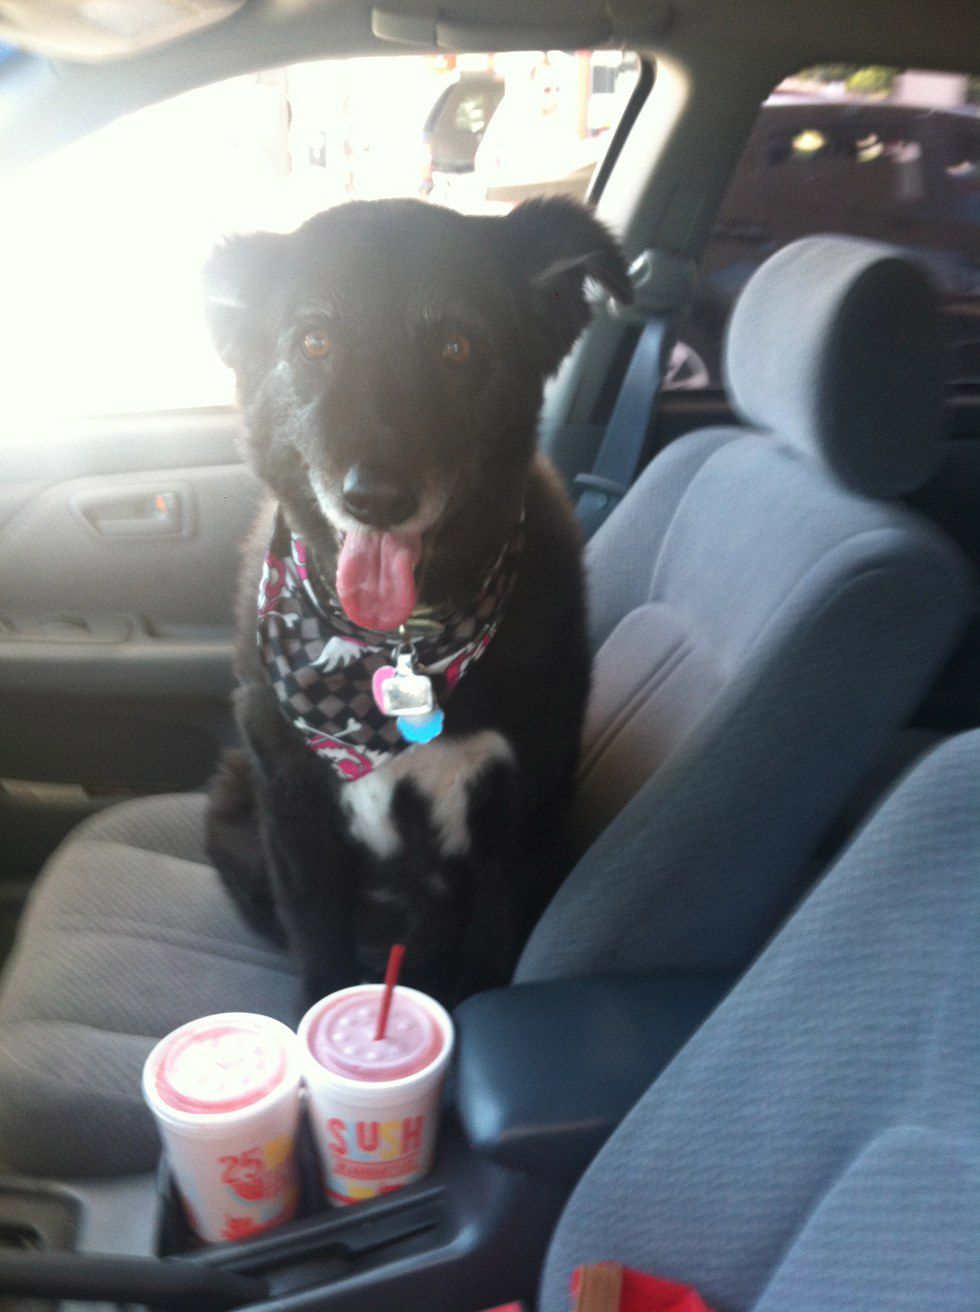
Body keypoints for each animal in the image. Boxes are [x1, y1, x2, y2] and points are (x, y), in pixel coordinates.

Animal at [203, 197, 632, 1005]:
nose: (375, 499)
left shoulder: (524, 813)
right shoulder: (294, 810)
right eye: (314, 341)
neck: (400, 642)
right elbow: (318, 945)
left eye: (457, 347)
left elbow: (493, 951)